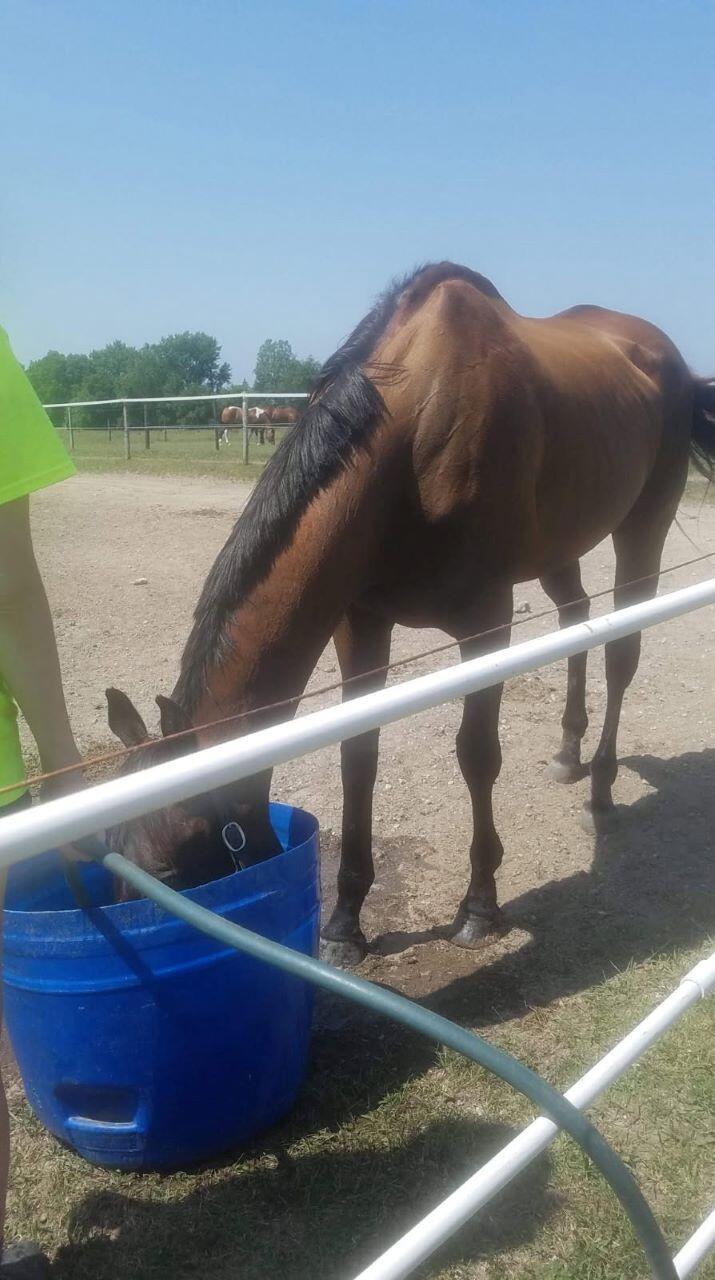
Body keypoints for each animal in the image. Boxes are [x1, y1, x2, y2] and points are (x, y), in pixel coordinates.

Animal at [106, 262, 715, 962]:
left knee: (621, 652)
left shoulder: (486, 622)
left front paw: (479, 905)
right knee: (577, 621)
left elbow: (477, 754)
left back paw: (602, 785)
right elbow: (358, 758)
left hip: (643, 528)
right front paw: (346, 922)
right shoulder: (360, 623)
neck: (415, 439)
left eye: (174, 866)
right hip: (559, 549)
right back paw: (568, 752)